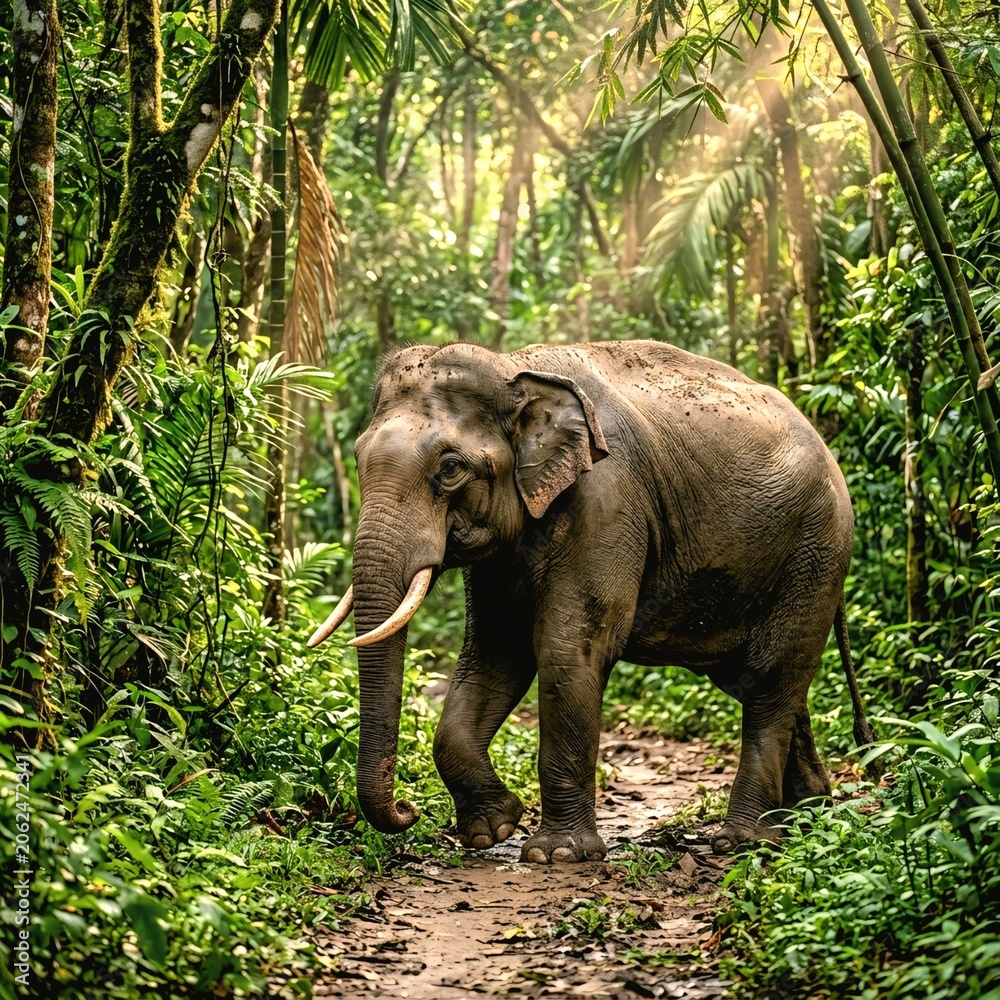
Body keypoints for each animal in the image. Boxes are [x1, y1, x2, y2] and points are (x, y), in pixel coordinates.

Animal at [308, 340, 875, 862]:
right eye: (357, 457)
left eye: (449, 468)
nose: (408, 811)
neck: (512, 368)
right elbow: (495, 654)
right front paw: (494, 829)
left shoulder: (608, 500)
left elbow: (566, 649)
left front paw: (556, 854)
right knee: (755, 680)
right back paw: (804, 814)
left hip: (816, 551)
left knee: (771, 674)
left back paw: (741, 841)